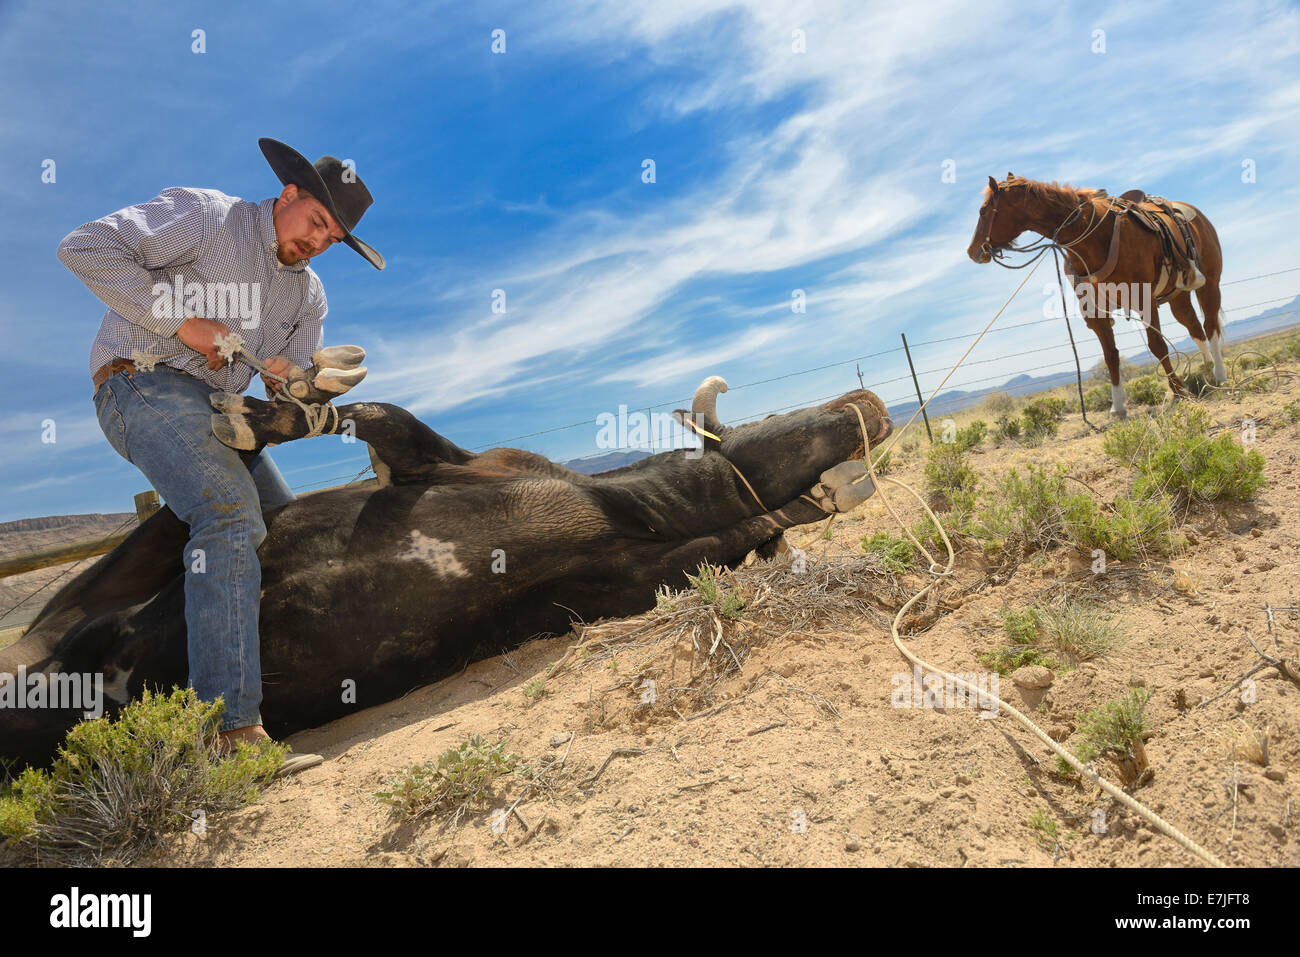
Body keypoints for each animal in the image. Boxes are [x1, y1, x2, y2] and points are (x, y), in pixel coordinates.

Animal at [0, 377, 889, 764]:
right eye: (775, 412)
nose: (870, 403)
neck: (617, 509)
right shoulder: (442, 465)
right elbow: (375, 413)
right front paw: (264, 409)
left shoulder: (627, 575)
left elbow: (749, 532)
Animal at [967, 174, 1227, 416]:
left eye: (982, 211)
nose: (972, 251)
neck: (1092, 238)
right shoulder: (1095, 314)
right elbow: (1110, 355)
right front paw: (1118, 406)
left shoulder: (1143, 301)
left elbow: (1158, 346)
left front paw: (1179, 391)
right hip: (1177, 296)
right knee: (1194, 327)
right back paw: (1207, 370)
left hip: (1210, 284)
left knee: (1210, 324)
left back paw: (1220, 375)